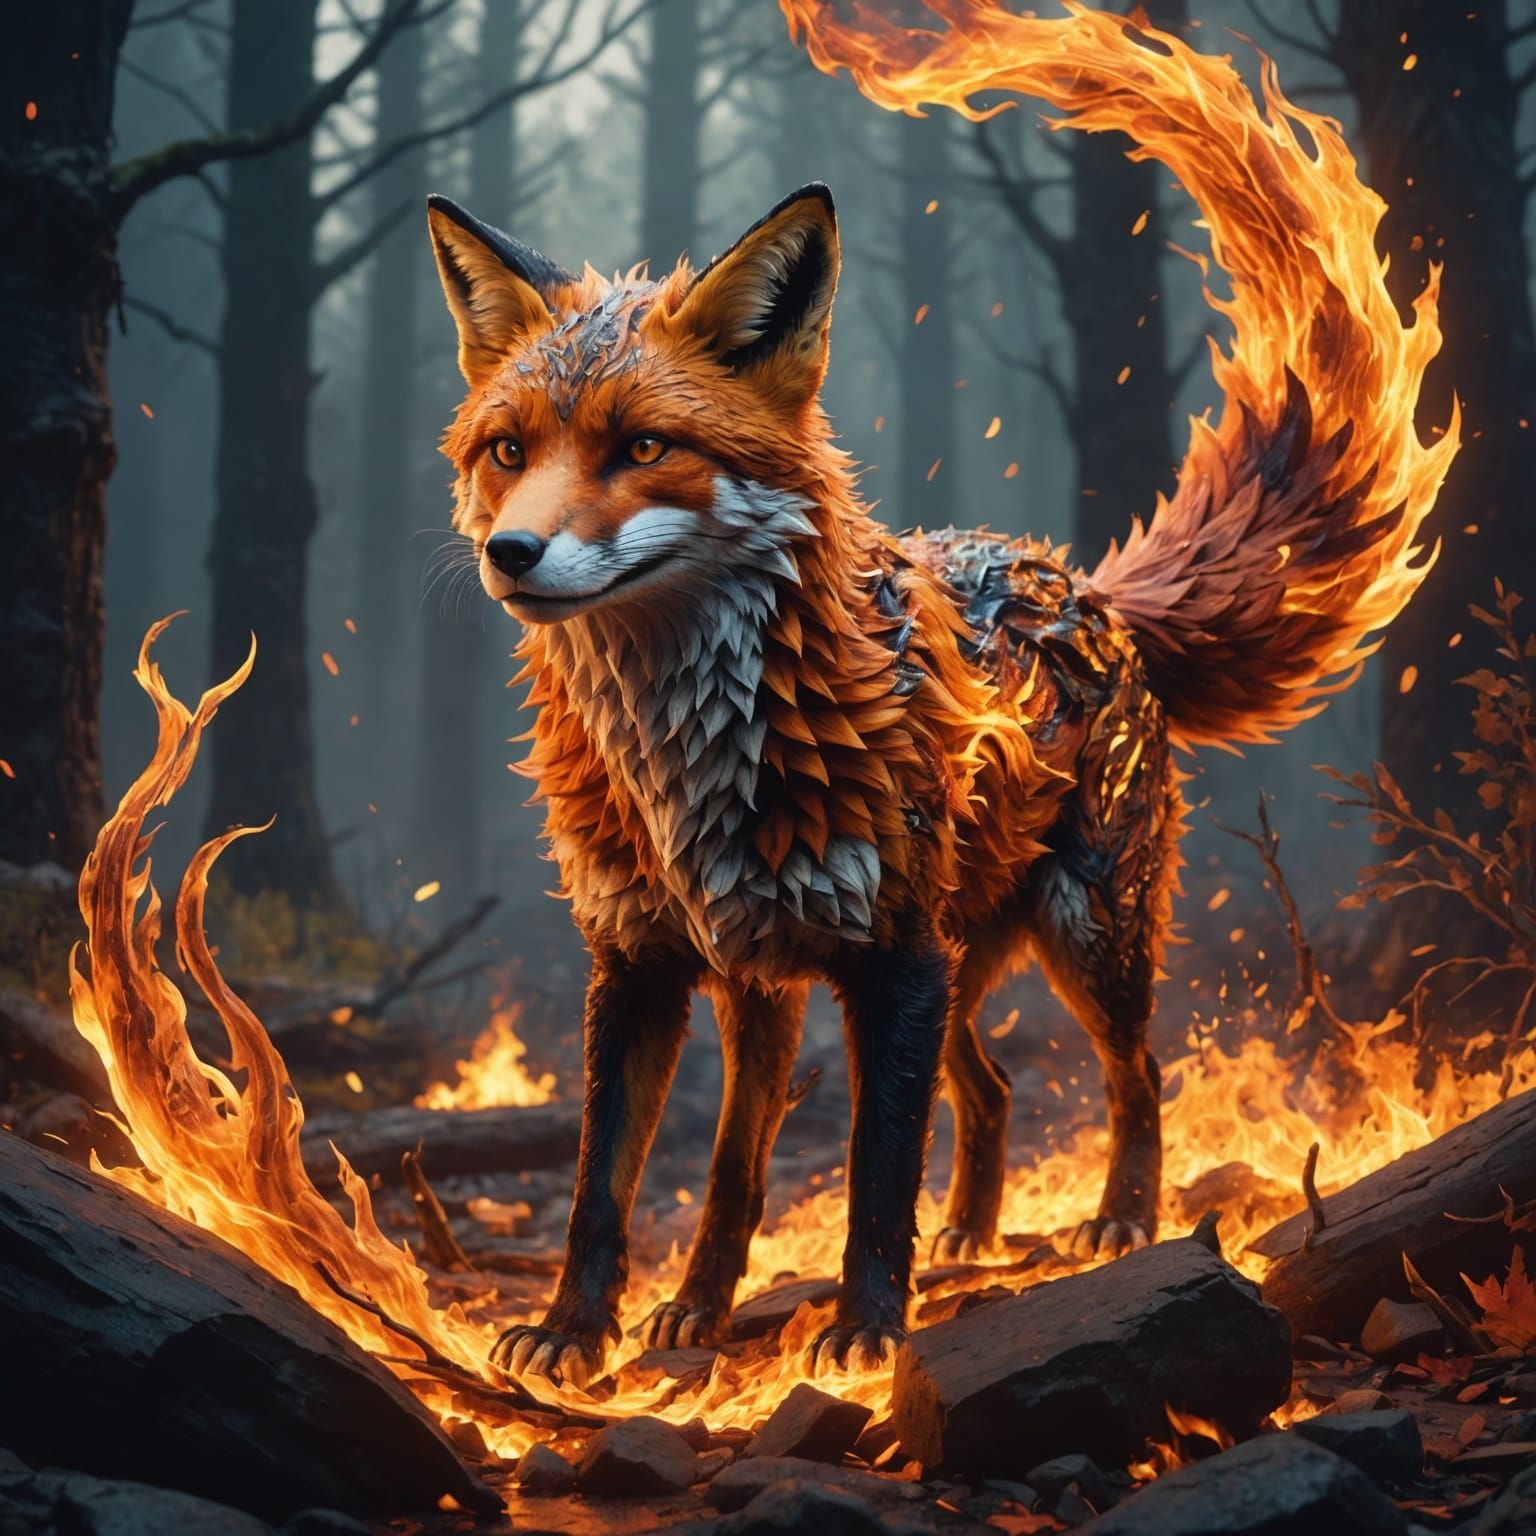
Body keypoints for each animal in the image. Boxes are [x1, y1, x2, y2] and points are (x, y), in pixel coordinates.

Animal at [426, 95, 1447, 1382]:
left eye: (644, 448)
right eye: (508, 451)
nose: (510, 554)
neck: (690, 757)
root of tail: (1078, 581)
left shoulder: (891, 962)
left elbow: (872, 1175)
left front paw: (866, 1332)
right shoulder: (649, 964)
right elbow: (625, 1182)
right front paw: (585, 1328)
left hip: (1078, 937)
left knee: (1136, 1073)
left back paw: (1120, 1218)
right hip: (885, 975)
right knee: (989, 1090)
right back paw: (942, 1238)